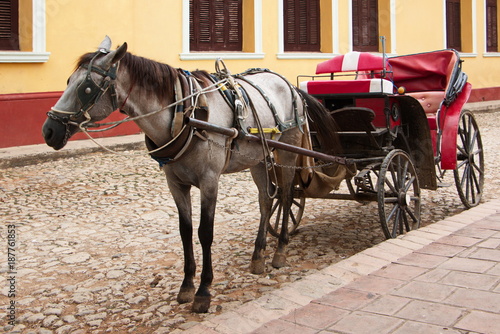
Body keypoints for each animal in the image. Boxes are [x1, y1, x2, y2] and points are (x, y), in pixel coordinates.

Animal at [43, 37, 340, 314]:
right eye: (68, 81)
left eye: (86, 88)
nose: (49, 131)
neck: (185, 115)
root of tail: (290, 85)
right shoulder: (175, 183)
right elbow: (185, 231)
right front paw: (186, 286)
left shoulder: (209, 181)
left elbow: (205, 232)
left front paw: (204, 291)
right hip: (258, 157)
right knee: (267, 201)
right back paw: (258, 255)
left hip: (288, 151)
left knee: (287, 197)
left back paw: (279, 252)